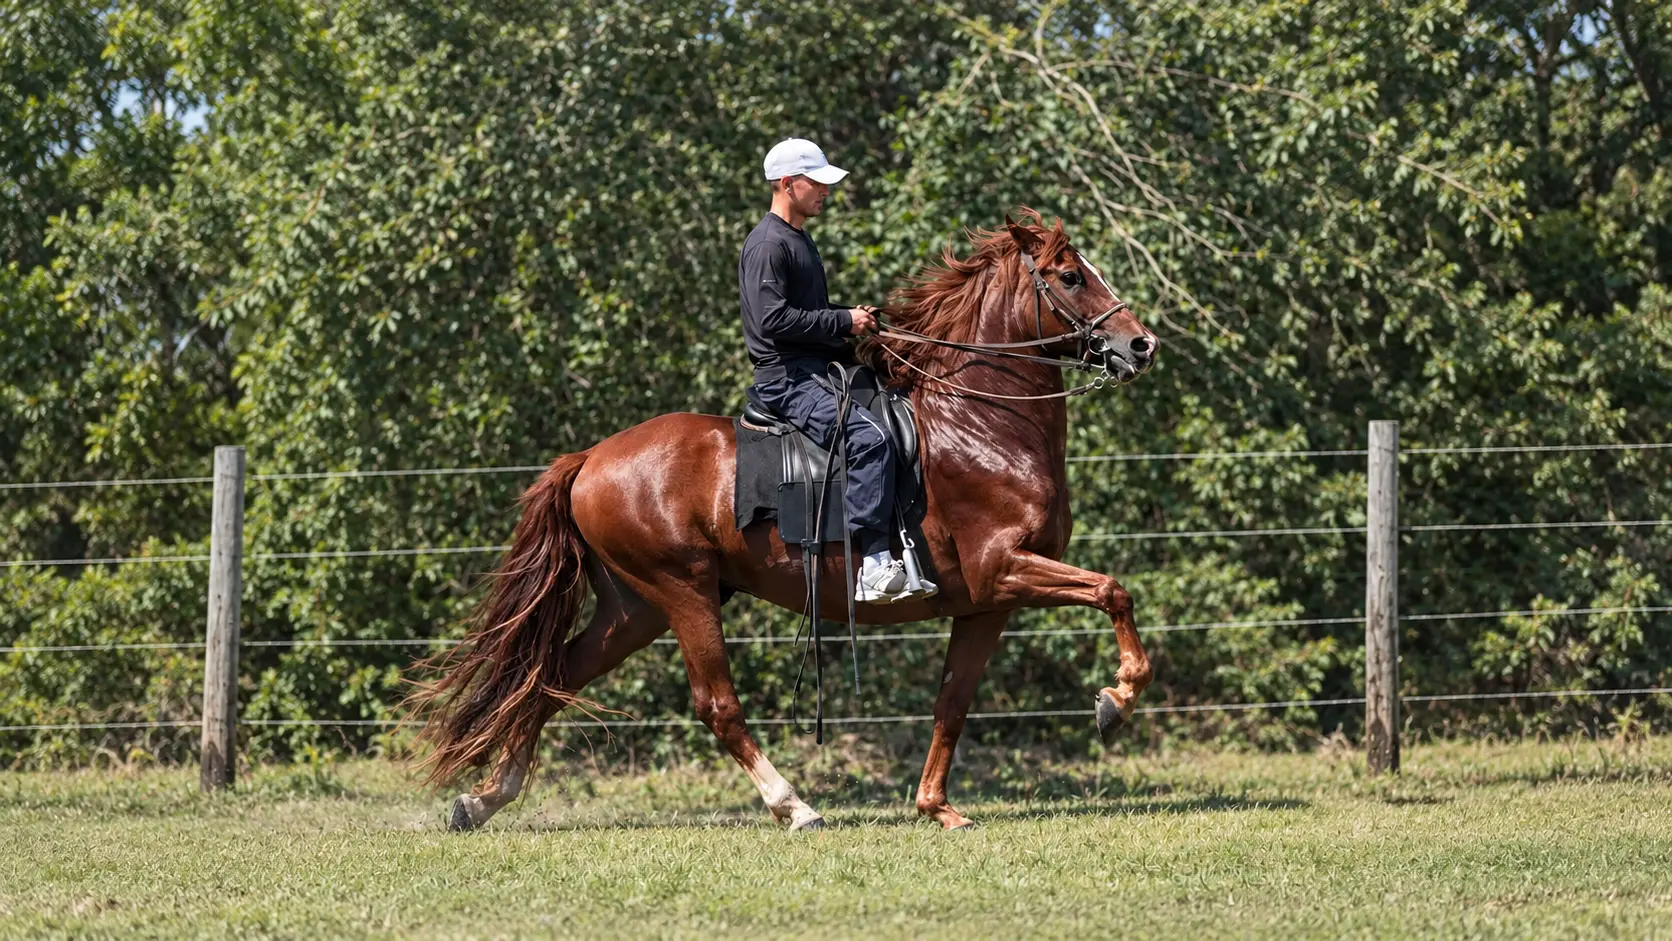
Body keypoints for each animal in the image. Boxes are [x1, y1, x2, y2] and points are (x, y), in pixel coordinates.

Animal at [409, 211, 1159, 831]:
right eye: (1071, 276)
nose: (1141, 345)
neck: (979, 423)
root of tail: (591, 457)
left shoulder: (985, 603)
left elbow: (954, 699)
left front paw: (935, 807)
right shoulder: (1004, 568)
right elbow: (1113, 590)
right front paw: (1116, 699)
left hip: (634, 608)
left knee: (551, 677)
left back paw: (483, 799)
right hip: (682, 593)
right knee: (716, 704)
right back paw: (794, 806)